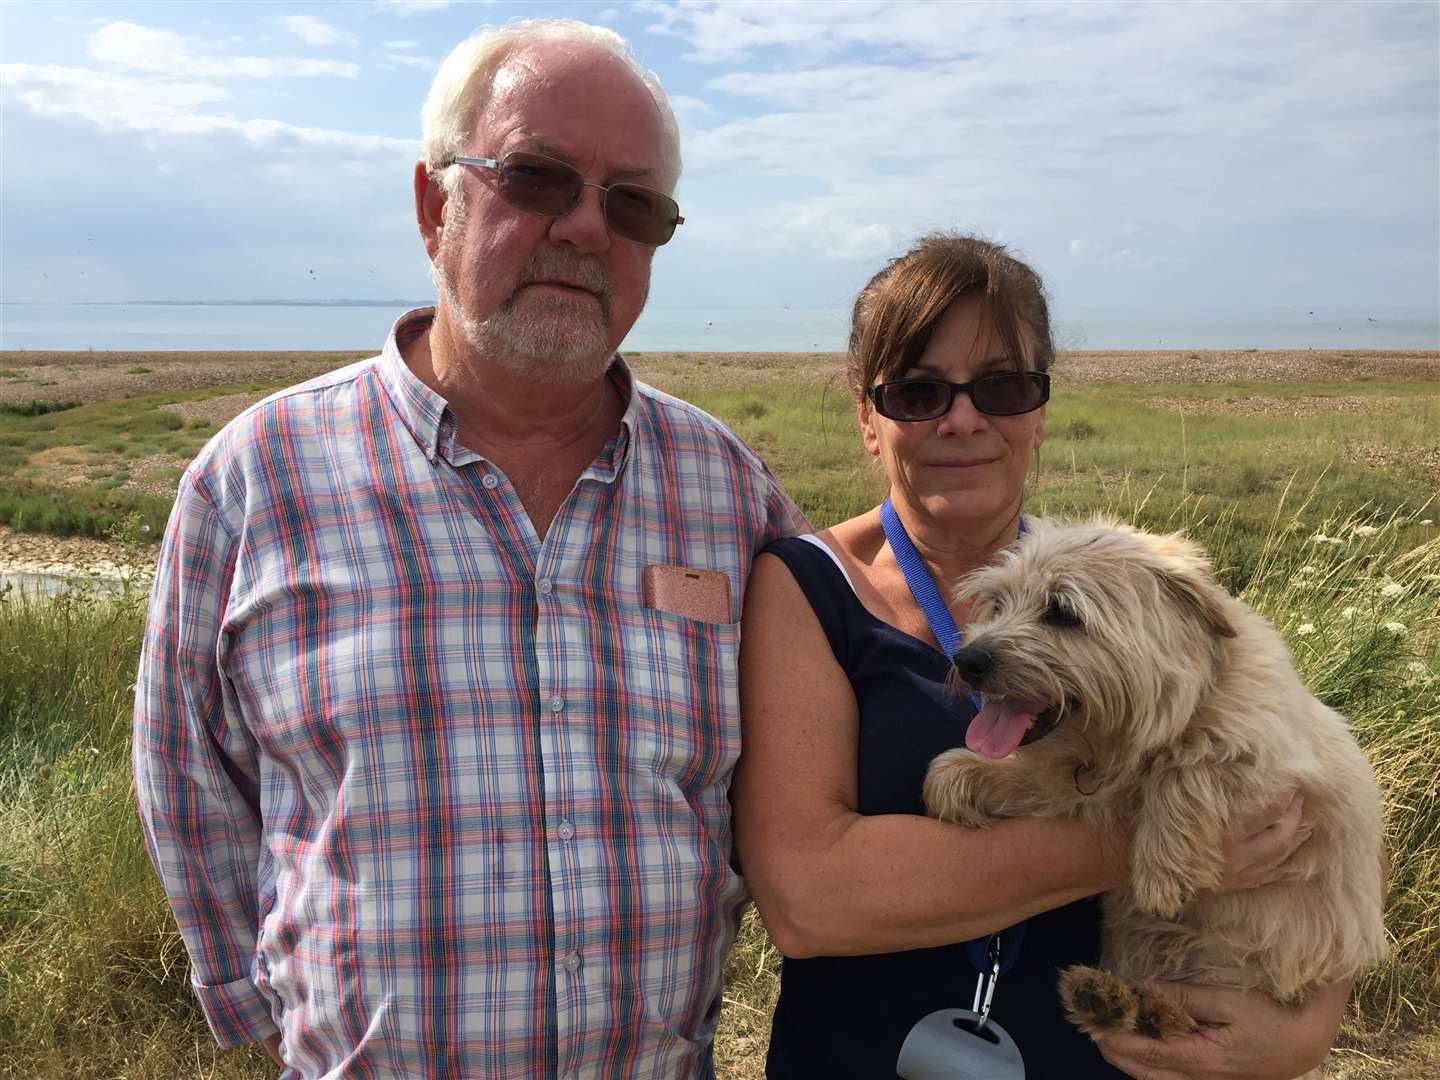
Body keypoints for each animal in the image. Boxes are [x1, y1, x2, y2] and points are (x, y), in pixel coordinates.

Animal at [921, 521, 1382, 1065]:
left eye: (1063, 612)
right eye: (996, 603)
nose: (967, 659)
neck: (1122, 743)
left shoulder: (1285, 774)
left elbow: (1190, 765)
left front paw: (1166, 868)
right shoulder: (1077, 791)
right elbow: (1034, 780)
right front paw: (958, 775)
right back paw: (1110, 1002)